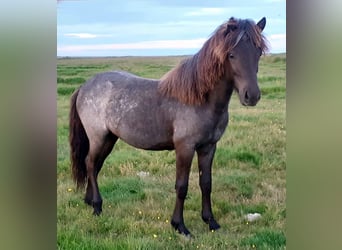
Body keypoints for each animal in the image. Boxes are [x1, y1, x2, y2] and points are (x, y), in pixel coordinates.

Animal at [69, 16, 268, 236]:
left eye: (258, 52)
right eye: (231, 54)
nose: (252, 96)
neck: (200, 99)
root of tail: (84, 86)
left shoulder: (208, 147)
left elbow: (206, 183)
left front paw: (210, 221)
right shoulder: (185, 148)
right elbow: (182, 186)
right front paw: (180, 226)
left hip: (109, 139)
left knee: (95, 166)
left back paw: (89, 201)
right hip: (98, 137)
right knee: (90, 163)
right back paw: (97, 206)